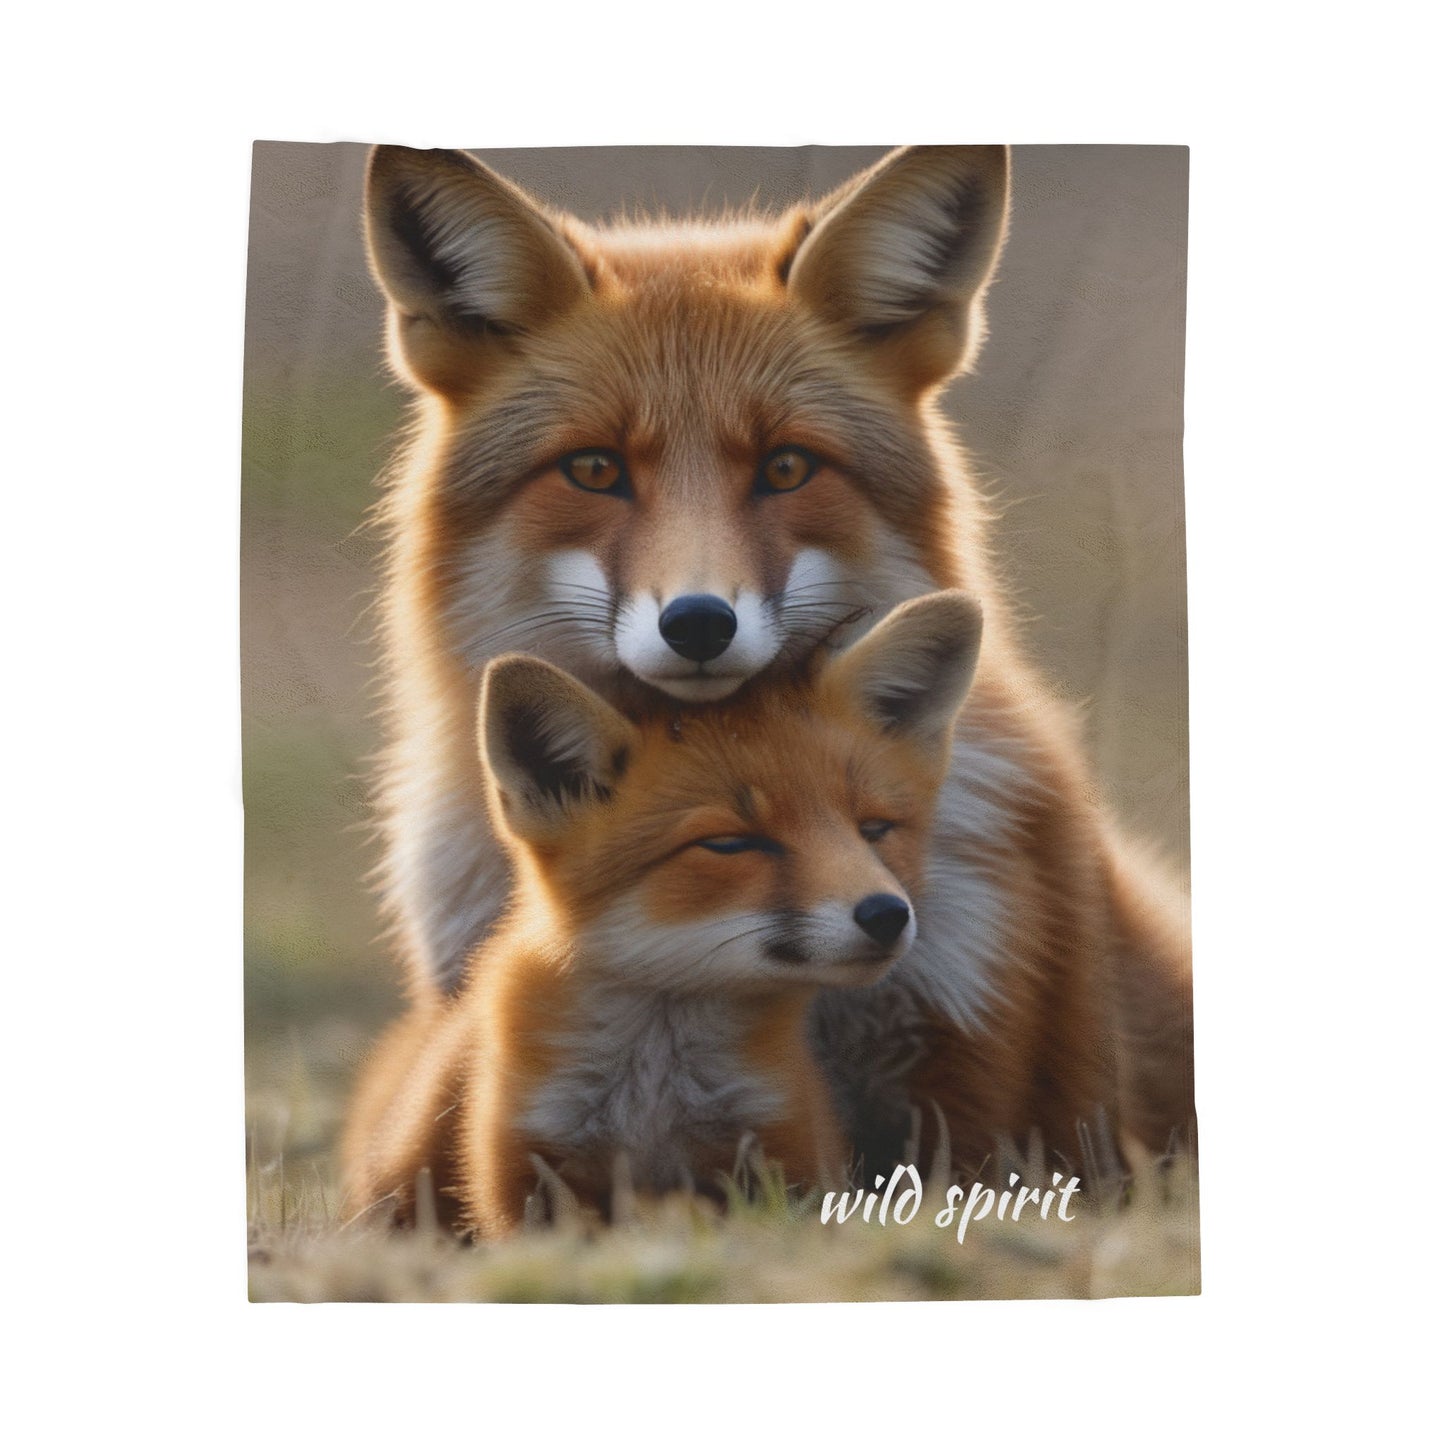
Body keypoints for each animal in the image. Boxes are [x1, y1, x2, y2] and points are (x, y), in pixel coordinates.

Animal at [343, 593, 985, 1235]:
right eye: (730, 844)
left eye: (874, 829)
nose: (886, 914)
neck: (653, 1092)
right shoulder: (525, 1171)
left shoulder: (784, 1153)